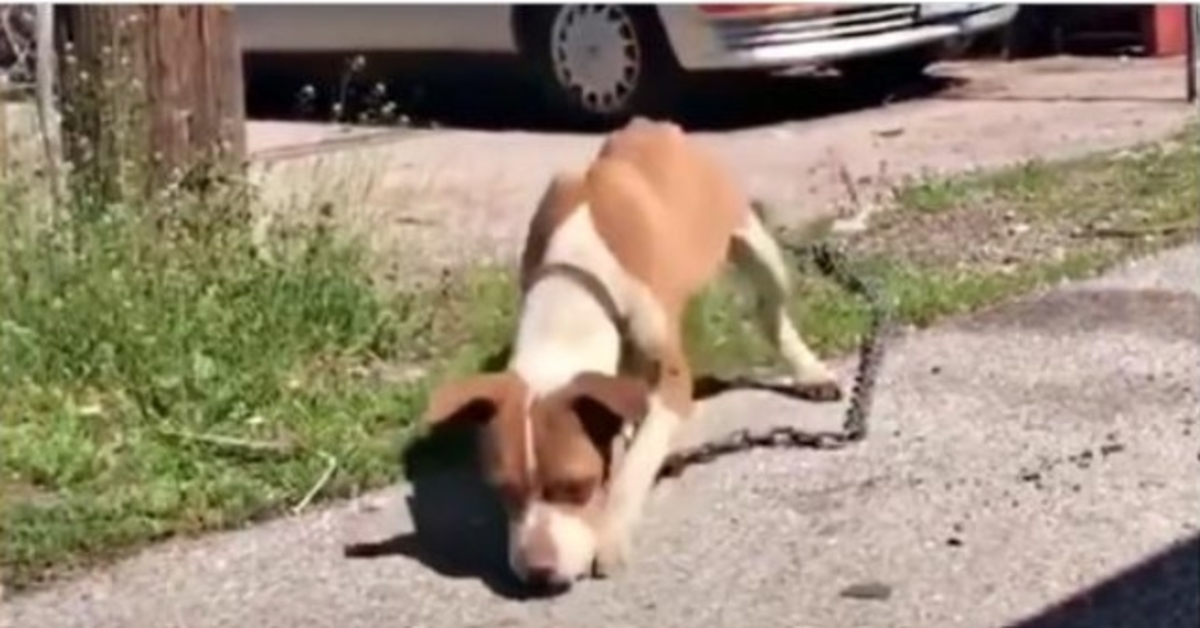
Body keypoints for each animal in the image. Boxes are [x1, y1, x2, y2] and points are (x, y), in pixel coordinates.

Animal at [422, 117, 844, 595]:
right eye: (503, 492)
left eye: (577, 486)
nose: (538, 574)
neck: (573, 291)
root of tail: (649, 125)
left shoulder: (671, 379)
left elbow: (637, 462)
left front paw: (612, 535)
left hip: (754, 242)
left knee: (770, 309)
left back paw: (810, 371)